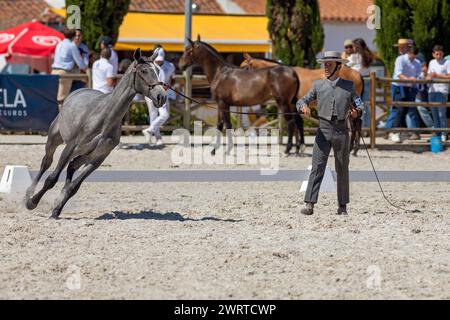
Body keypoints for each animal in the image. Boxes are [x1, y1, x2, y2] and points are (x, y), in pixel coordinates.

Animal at [24, 48, 166, 218]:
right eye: (144, 70)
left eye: (158, 70)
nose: (161, 96)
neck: (104, 118)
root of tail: (78, 91)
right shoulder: (70, 148)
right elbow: (52, 179)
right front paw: (32, 202)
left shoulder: (98, 157)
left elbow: (74, 186)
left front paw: (56, 210)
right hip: (55, 139)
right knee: (46, 163)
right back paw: (28, 195)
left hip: (84, 155)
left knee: (71, 166)